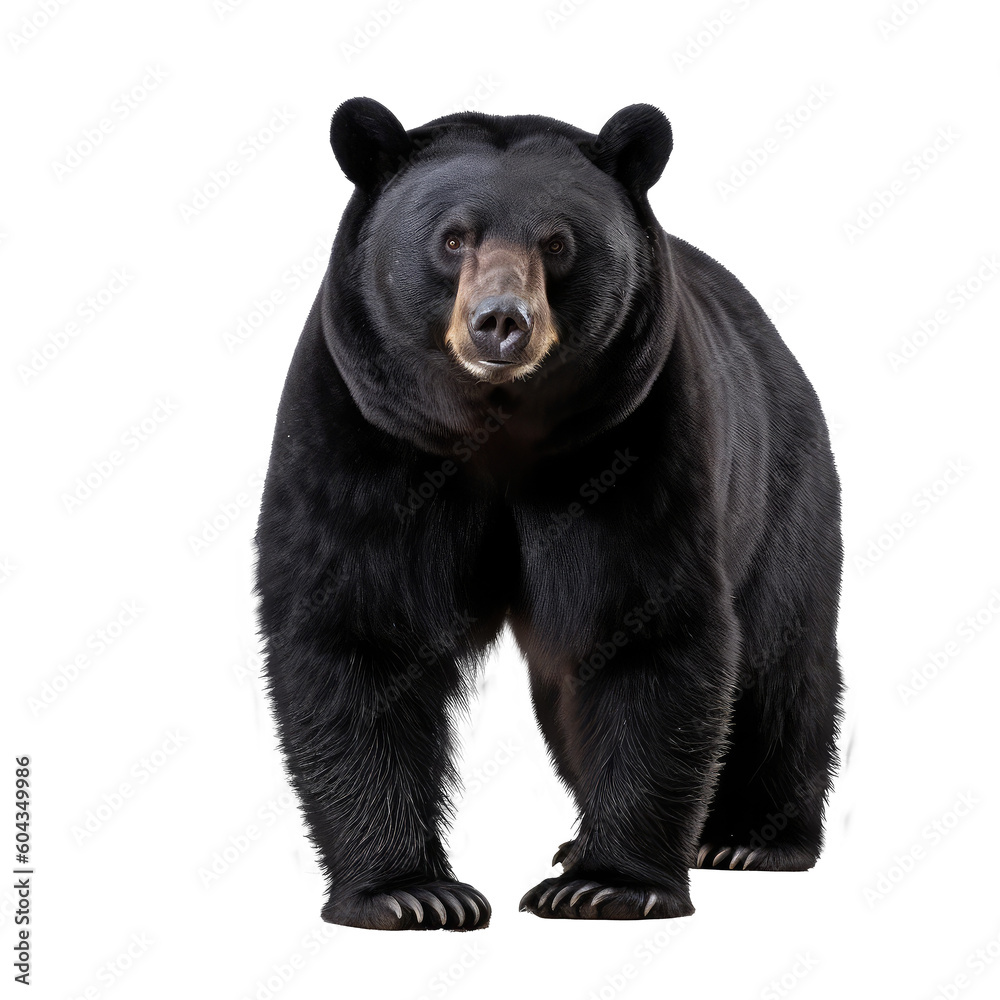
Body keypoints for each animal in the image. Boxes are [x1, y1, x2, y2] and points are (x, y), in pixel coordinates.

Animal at [254, 97, 843, 930]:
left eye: (558, 242)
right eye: (453, 237)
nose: (502, 321)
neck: (497, 428)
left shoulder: (629, 441)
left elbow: (646, 626)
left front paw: (608, 885)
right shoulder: (365, 433)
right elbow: (356, 627)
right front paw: (410, 892)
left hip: (780, 484)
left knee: (780, 656)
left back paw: (748, 838)